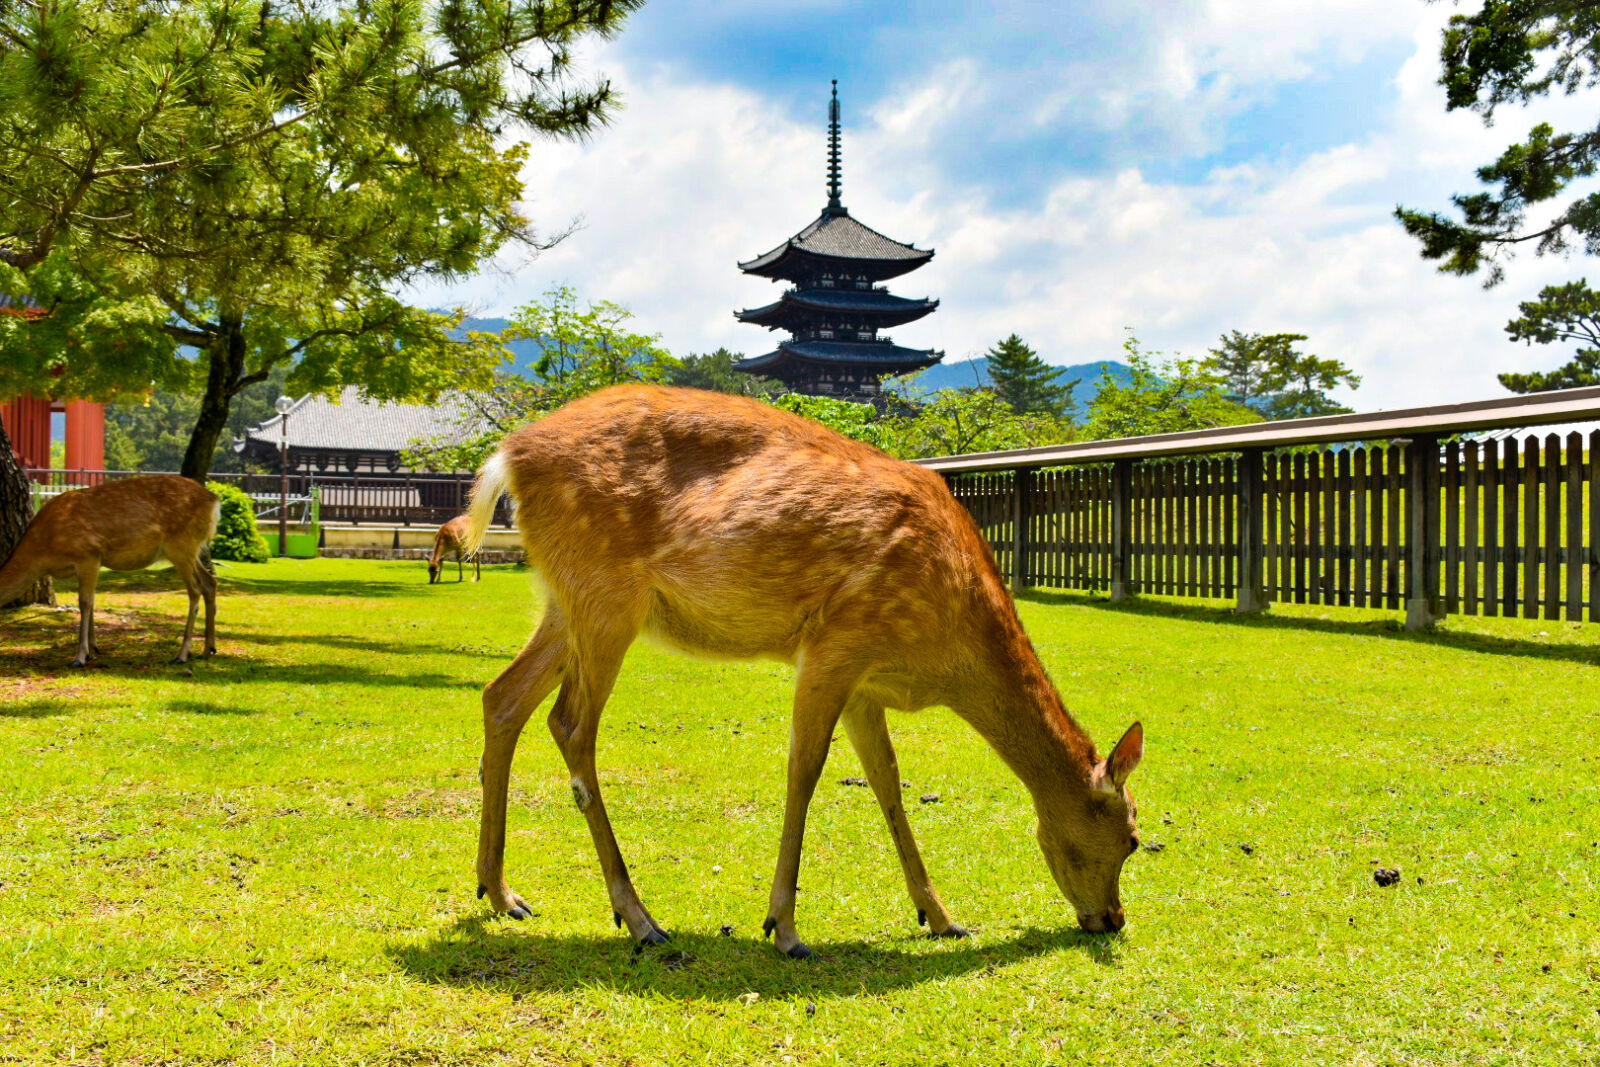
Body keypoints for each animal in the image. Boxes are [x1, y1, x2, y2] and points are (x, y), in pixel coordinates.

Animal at [0, 476, 220, 668]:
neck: (43, 552)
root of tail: (214, 501)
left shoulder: (88, 555)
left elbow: (85, 602)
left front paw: (80, 657)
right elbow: (91, 601)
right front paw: (93, 649)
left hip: (181, 545)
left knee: (195, 590)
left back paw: (183, 654)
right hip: (191, 549)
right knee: (209, 582)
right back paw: (208, 649)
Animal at [457, 383, 1145, 959]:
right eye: (1134, 838)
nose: (1113, 918)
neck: (945, 654)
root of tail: (506, 456)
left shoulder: (867, 682)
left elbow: (888, 782)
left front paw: (942, 917)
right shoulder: (837, 643)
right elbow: (805, 771)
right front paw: (784, 928)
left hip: (564, 601)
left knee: (502, 696)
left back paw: (501, 894)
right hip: (605, 598)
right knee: (570, 724)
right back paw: (641, 919)